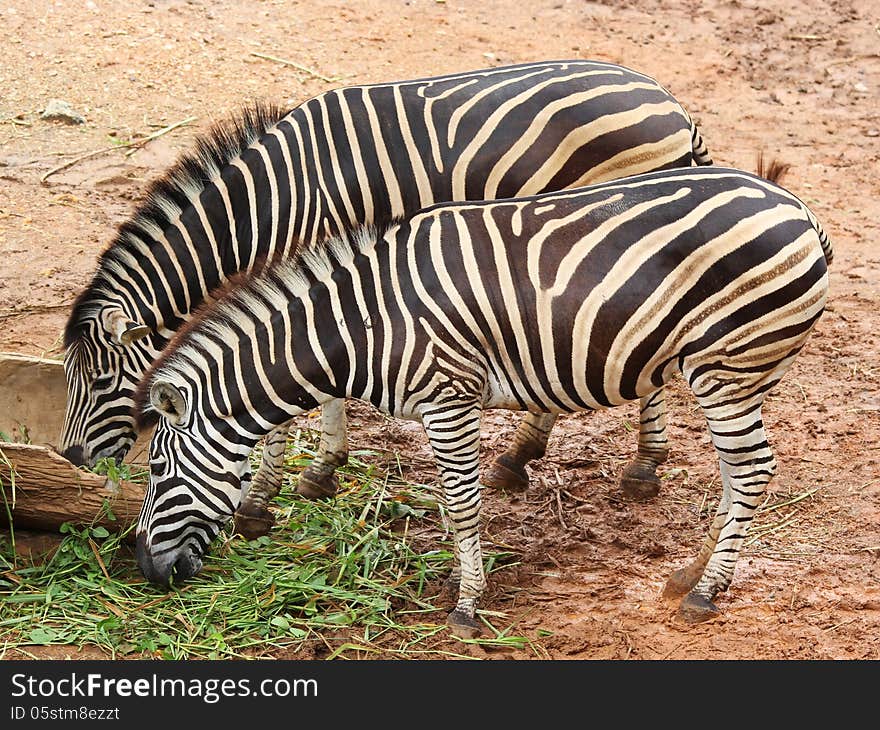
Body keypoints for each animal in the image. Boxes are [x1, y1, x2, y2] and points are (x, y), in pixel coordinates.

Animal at [58, 58, 712, 540]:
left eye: (101, 382)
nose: (71, 459)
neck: (265, 209)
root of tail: (669, 99)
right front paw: (319, 471)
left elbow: (298, 389)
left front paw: (270, 491)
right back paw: (523, 454)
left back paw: (642, 466)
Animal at [131, 161, 832, 632]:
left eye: (159, 470)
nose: (144, 570)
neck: (362, 326)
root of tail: (797, 208)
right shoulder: (436, 407)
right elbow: (450, 504)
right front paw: (458, 577)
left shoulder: (449, 397)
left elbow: (465, 507)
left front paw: (468, 605)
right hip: (733, 370)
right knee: (735, 473)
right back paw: (691, 572)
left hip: (728, 364)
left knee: (752, 470)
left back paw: (705, 592)